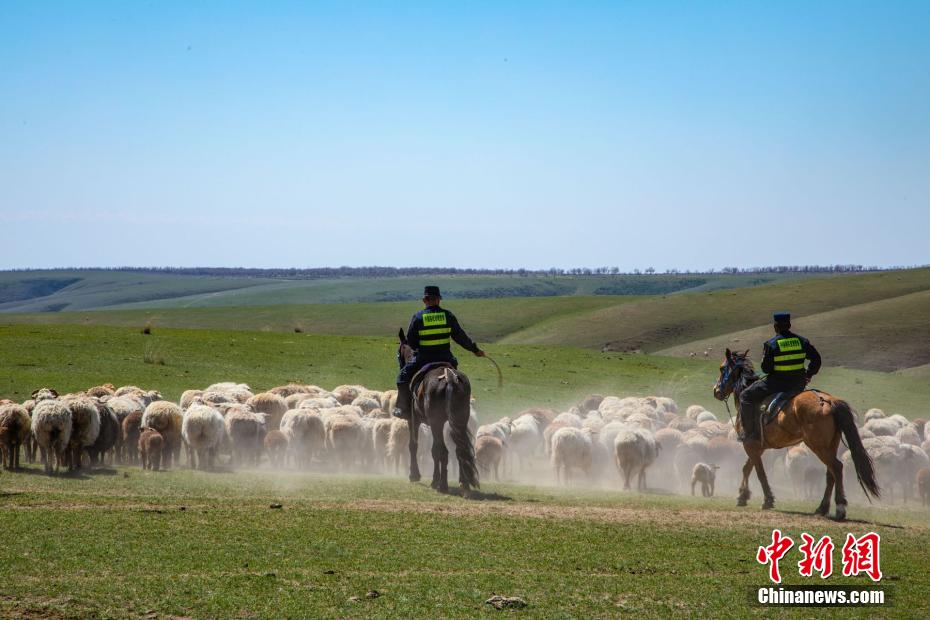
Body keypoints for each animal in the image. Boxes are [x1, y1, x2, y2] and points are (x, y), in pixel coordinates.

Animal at [396, 330, 478, 494]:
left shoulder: (413, 420)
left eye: (398, 353)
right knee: (459, 449)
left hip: (436, 422)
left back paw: (442, 485)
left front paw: (415, 475)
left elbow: (413, 445)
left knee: (442, 451)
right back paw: (464, 484)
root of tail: (449, 378)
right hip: (459, 419)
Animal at [712, 348, 876, 520]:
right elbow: (747, 468)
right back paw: (822, 507)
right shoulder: (757, 447)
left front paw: (767, 500)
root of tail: (829, 401)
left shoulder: (749, 444)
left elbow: (759, 472)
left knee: (836, 467)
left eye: (722, 368)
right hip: (831, 444)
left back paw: (840, 508)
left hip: (818, 446)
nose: (716, 390)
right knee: (830, 473)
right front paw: (743, 496)